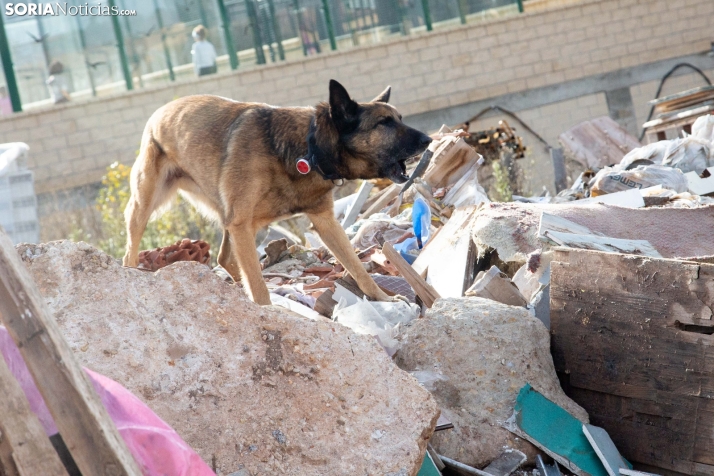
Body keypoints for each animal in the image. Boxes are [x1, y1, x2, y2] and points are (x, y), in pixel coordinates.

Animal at [123, 77, 432, 302]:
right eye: (384, 123)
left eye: (399, 118)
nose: (429, 139)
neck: (309, 148)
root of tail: (160, 111)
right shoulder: (242, 225)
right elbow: (258, 286)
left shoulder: (325, 222)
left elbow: (358, 268)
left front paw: (382, 298)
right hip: (147, 204)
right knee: (132, 247)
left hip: (232, 219)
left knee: (225, 258)